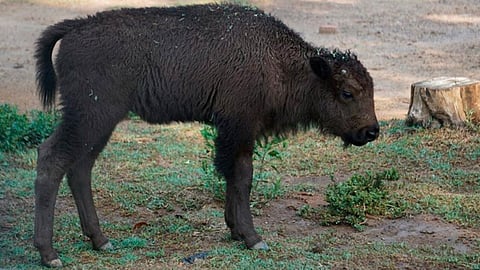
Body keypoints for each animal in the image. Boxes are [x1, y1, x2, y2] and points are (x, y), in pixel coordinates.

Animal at [33, 3, 378, 266]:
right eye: (347, 93)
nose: (371, 131)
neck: (280, 62)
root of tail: (76, 28)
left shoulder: (236, 133)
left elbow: (232, 176)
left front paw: (235, 230)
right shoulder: (238, 129)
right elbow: (242, 176)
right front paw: (253, 237)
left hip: (97, 125)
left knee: (80, 169)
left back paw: (100, 240)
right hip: (91, 117)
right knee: (53, 160)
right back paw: (50, 254)